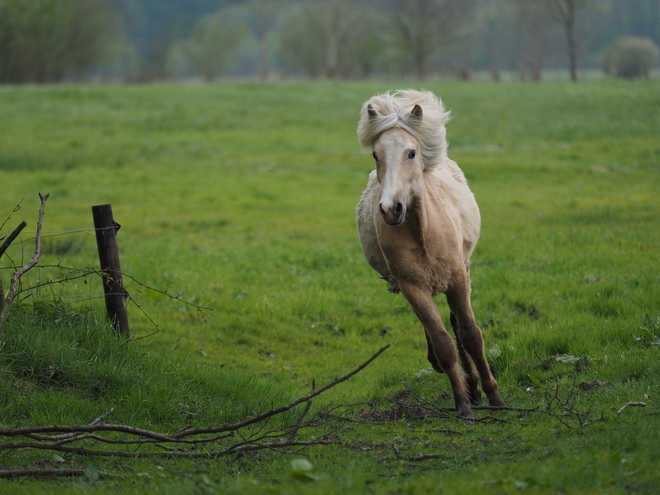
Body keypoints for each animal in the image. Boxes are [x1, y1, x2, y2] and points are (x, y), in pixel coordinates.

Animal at [356, 89, 506, 418]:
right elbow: (443, 343)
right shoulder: (413, 287)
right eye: (376, 155)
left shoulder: (458, 279)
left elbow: (472, 336)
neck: (422, 231)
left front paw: (496, 399)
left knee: (458, 326)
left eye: (412, 153)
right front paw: (463, 405)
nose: (390, 209)